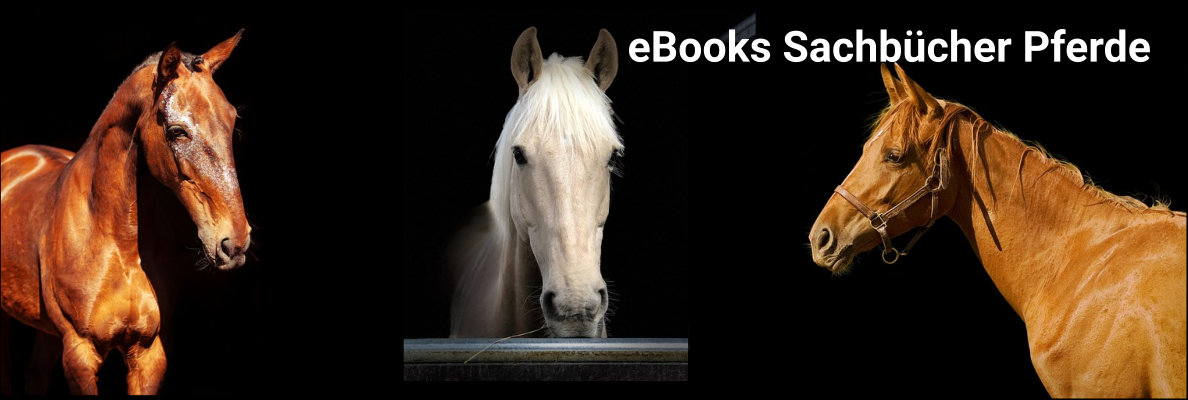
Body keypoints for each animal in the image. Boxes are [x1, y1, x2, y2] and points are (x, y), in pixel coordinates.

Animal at [0, 31, 250, 394]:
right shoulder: (80, 355)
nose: (234, 243)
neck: (118, 243)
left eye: (232, 121)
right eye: (176, 131)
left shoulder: (147, 354)